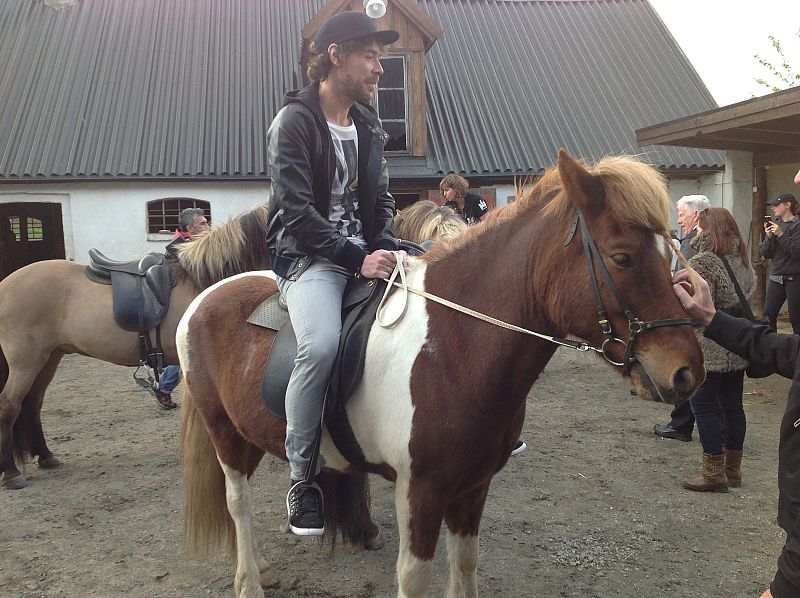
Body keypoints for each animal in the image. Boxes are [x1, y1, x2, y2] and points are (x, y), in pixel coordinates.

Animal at [0, 205, 272, 489]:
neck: (205, 280)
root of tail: (6, 284)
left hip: (50, 356)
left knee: (33, 402)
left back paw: (46, 456)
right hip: (26, 360)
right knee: (9, 405)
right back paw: (11, 472)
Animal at [178, 150, 705, 597]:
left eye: (670, 251)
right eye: (622, 257)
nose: (687, 372)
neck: (453, 348)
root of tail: (205, 298)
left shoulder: (472, 487)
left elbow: (466, 563)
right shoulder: (420, 493)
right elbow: (414, 577)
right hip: (224, 432)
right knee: (237, 500)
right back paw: (249, 581)